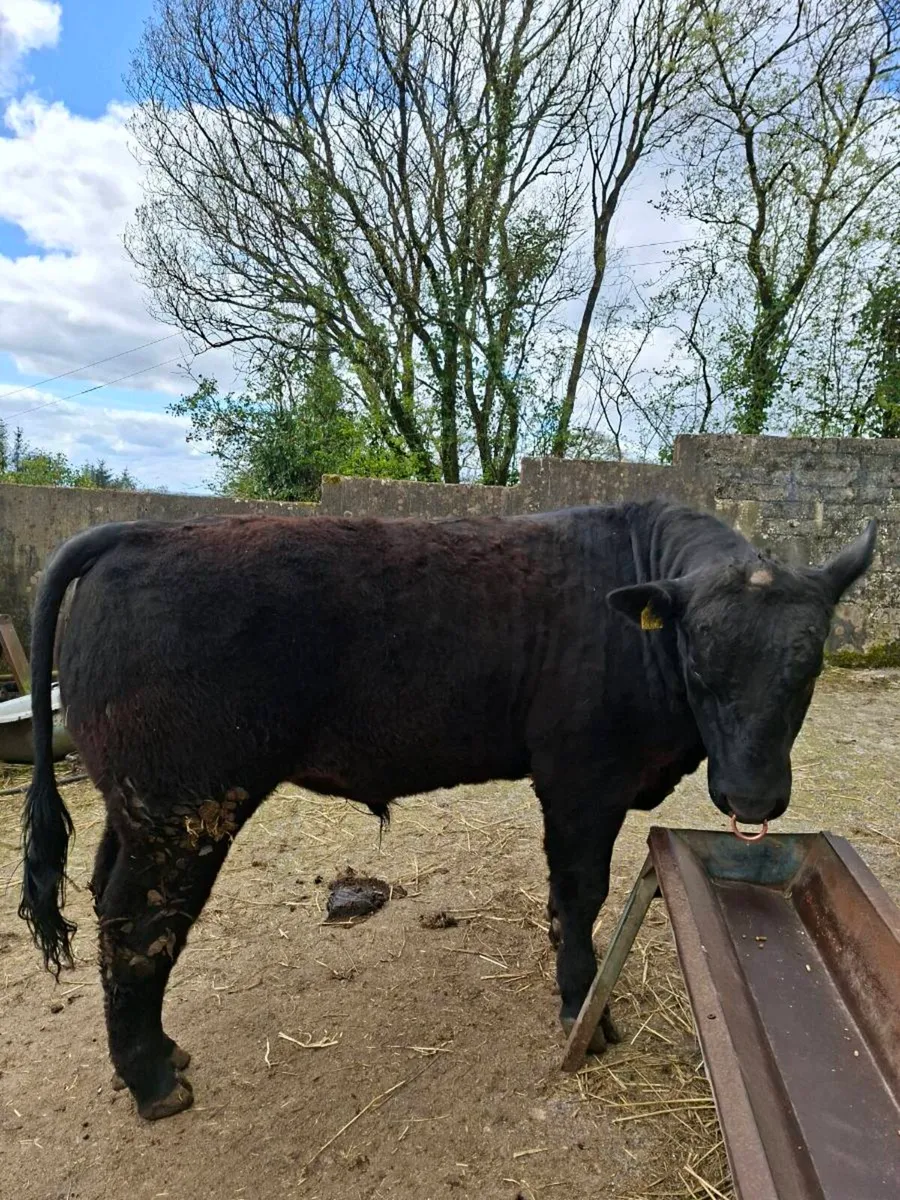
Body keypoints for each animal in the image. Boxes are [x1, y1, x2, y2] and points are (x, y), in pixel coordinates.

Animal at [19, 500, 875, 1120]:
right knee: (138, 923)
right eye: (699, 660)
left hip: (138, 807)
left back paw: (162, 1054)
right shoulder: (582, 779)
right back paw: (154, 1082)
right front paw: (585, 1012)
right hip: (185, 808)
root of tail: (138, 532)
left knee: (108, 900)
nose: (753, 796)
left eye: (809, 666)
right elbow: (578, 894)